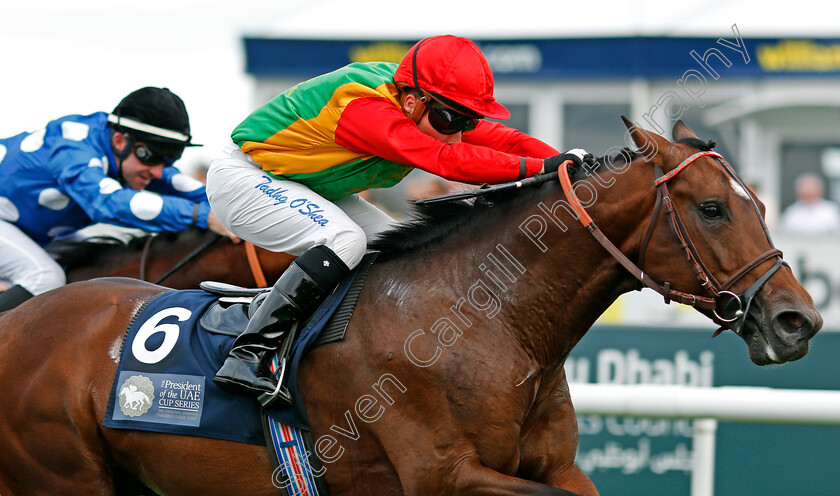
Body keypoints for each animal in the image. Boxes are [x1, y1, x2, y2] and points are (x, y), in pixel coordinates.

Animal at [0, 118, 820, 494]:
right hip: (62, 475)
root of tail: (18, 325)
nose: (798, 319)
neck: (486, 320)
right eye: (713, 208)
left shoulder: (557, 466)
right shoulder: (445, 476)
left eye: (758, 203)